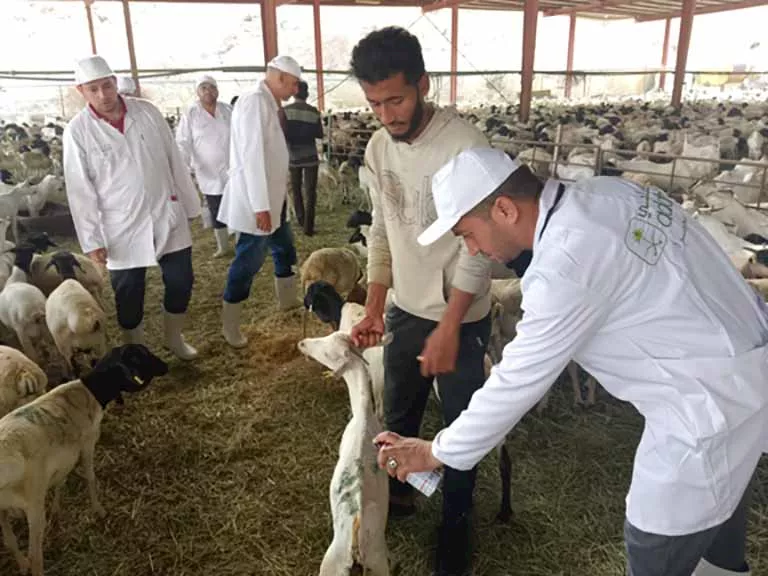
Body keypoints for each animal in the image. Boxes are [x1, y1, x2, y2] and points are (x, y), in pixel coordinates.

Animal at [0, 344, 168, 576]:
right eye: (139, 357)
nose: (165, 366)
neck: (91, 391)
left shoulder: (64, 456)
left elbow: (61, 481)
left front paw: (57, 510)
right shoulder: (87, 444)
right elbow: (90, 477)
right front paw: (99, 511)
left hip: (2, 509)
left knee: (10, 541)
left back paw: (22, 564)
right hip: (32, 505)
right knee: (35, 558)